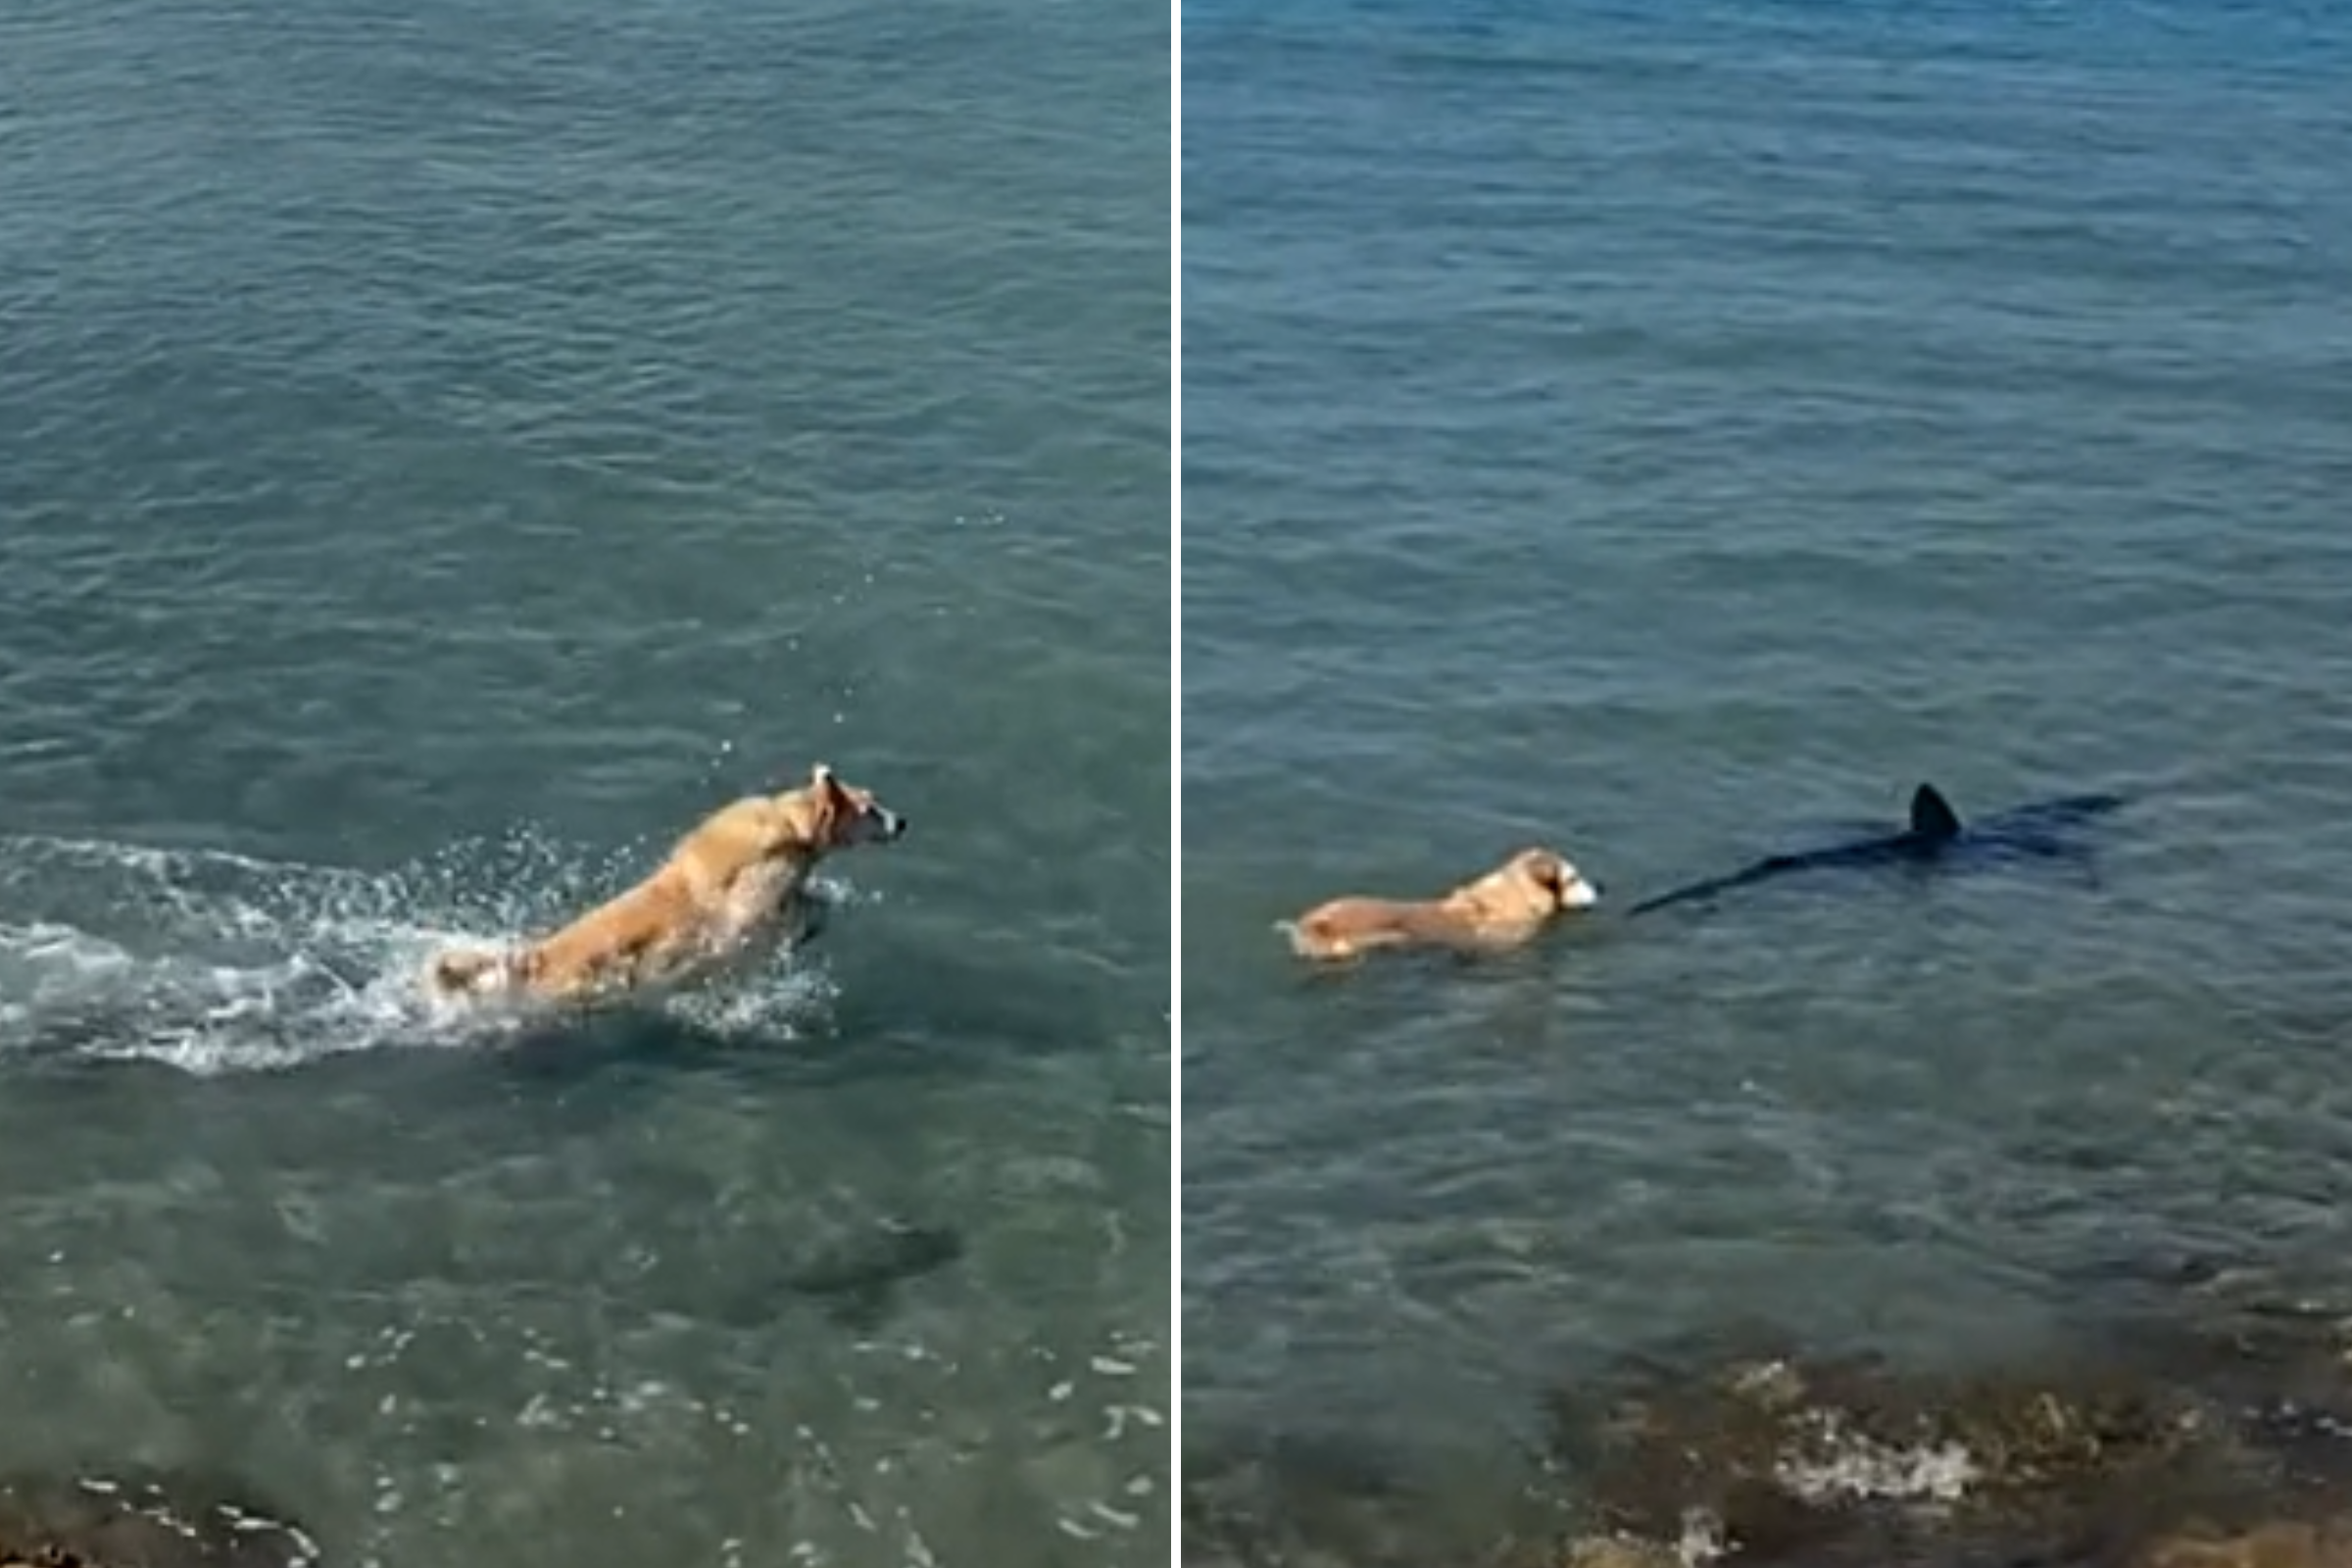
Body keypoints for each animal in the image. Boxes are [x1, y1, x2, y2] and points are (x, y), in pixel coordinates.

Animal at [427, 761, 903, 1010]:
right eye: (869, 808)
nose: (902, 821)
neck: (794, 824)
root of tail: (533, 960)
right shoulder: (749, 893)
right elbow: (767, 910)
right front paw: (804, 923)